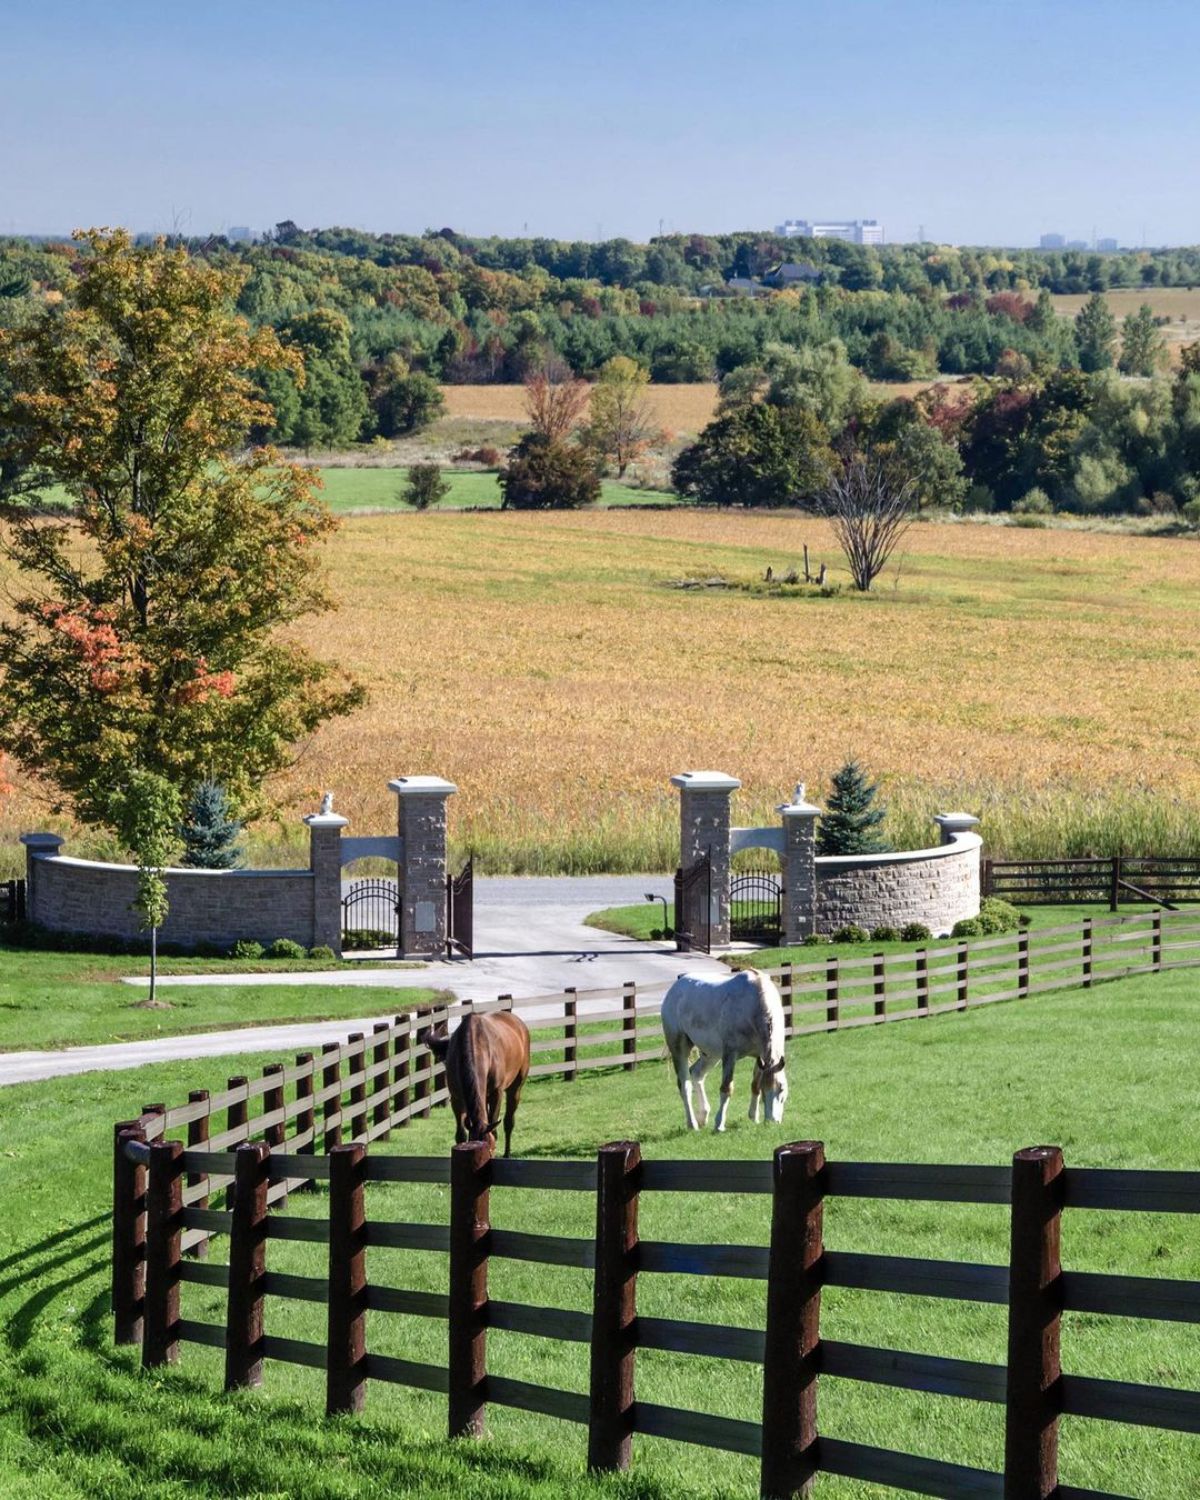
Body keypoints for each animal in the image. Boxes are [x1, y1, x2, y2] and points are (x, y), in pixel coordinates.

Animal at [423, 1014, 531, 1152]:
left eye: (493, 1148)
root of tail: (518, 1023)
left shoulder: (497, 1093)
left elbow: (494, 1129)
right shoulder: (456, 1098)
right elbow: (461, 1135)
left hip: (515, 1087)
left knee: (509, 1122)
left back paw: (507, 1152)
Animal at [657, 966, 786, 1128]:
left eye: (781, 1088)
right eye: (765, 1090)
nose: (772, 1121)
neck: (753, 1006)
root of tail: (674, 988)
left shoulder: (759, 1056)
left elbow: (754, 1085)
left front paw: (754, 1117)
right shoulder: (730, 1055)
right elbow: (726, 1088)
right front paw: (719, 1124)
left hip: (710, 1055)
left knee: (697, 1073)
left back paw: (703, 1115)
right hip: (679, 1048)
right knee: (684, 1085)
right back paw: (692, 1124)